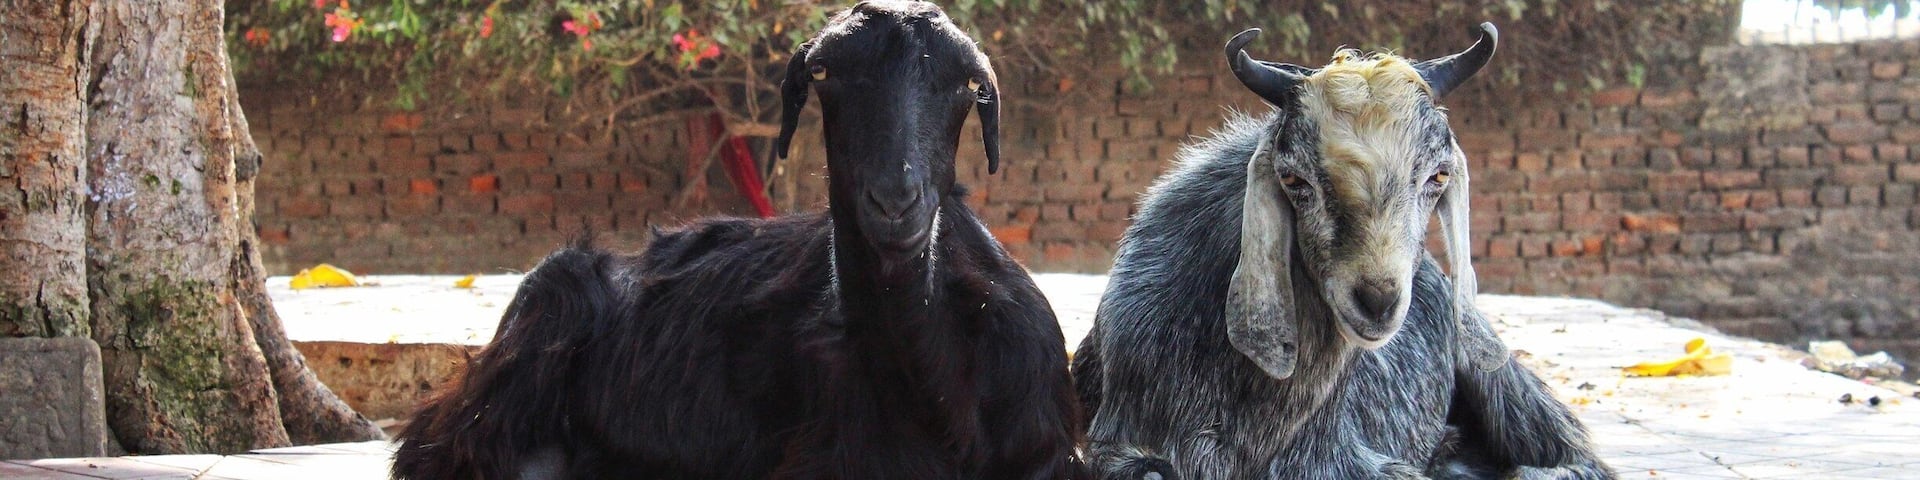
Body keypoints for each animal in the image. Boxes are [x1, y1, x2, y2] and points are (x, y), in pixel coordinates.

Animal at [1070, 25, 1614, 480]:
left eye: (1438, 176)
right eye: (1294, 179)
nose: (1377, 300)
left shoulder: (1339, 454)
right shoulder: (1120, 439)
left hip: (1495, 373)